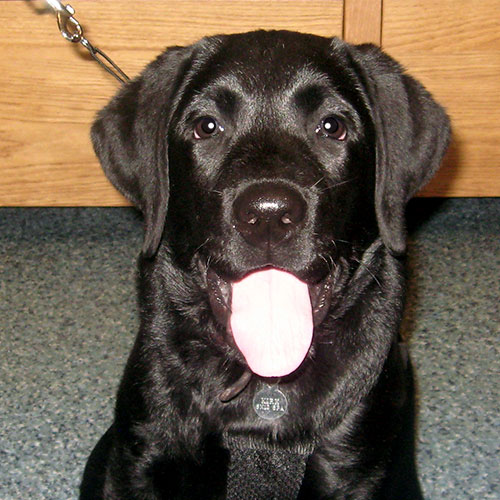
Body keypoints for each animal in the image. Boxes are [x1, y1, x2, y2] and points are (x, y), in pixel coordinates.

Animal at [81, 31, 450, 500]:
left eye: (332, 126)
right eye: (207, 126)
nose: (269, 214)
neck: (264, 390)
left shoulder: (355, 473)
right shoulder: (139, 459)